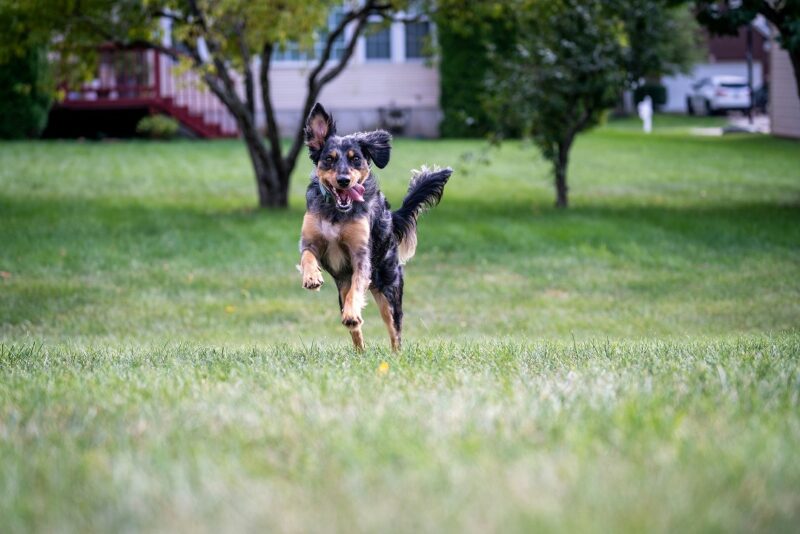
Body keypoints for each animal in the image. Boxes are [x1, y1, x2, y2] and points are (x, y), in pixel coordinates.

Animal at [298, 103, 454, 352]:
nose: (344, 180)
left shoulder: (361, 255)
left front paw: (352, 313)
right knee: (355, 330)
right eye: (329, 159)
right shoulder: (310, 241)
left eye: (356, 159)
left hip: (389, 290)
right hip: (343, 290)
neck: (337, 213)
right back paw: (359, 349)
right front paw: (312, 277)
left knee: (394, 331)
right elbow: (307, 257)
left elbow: (357, 289)